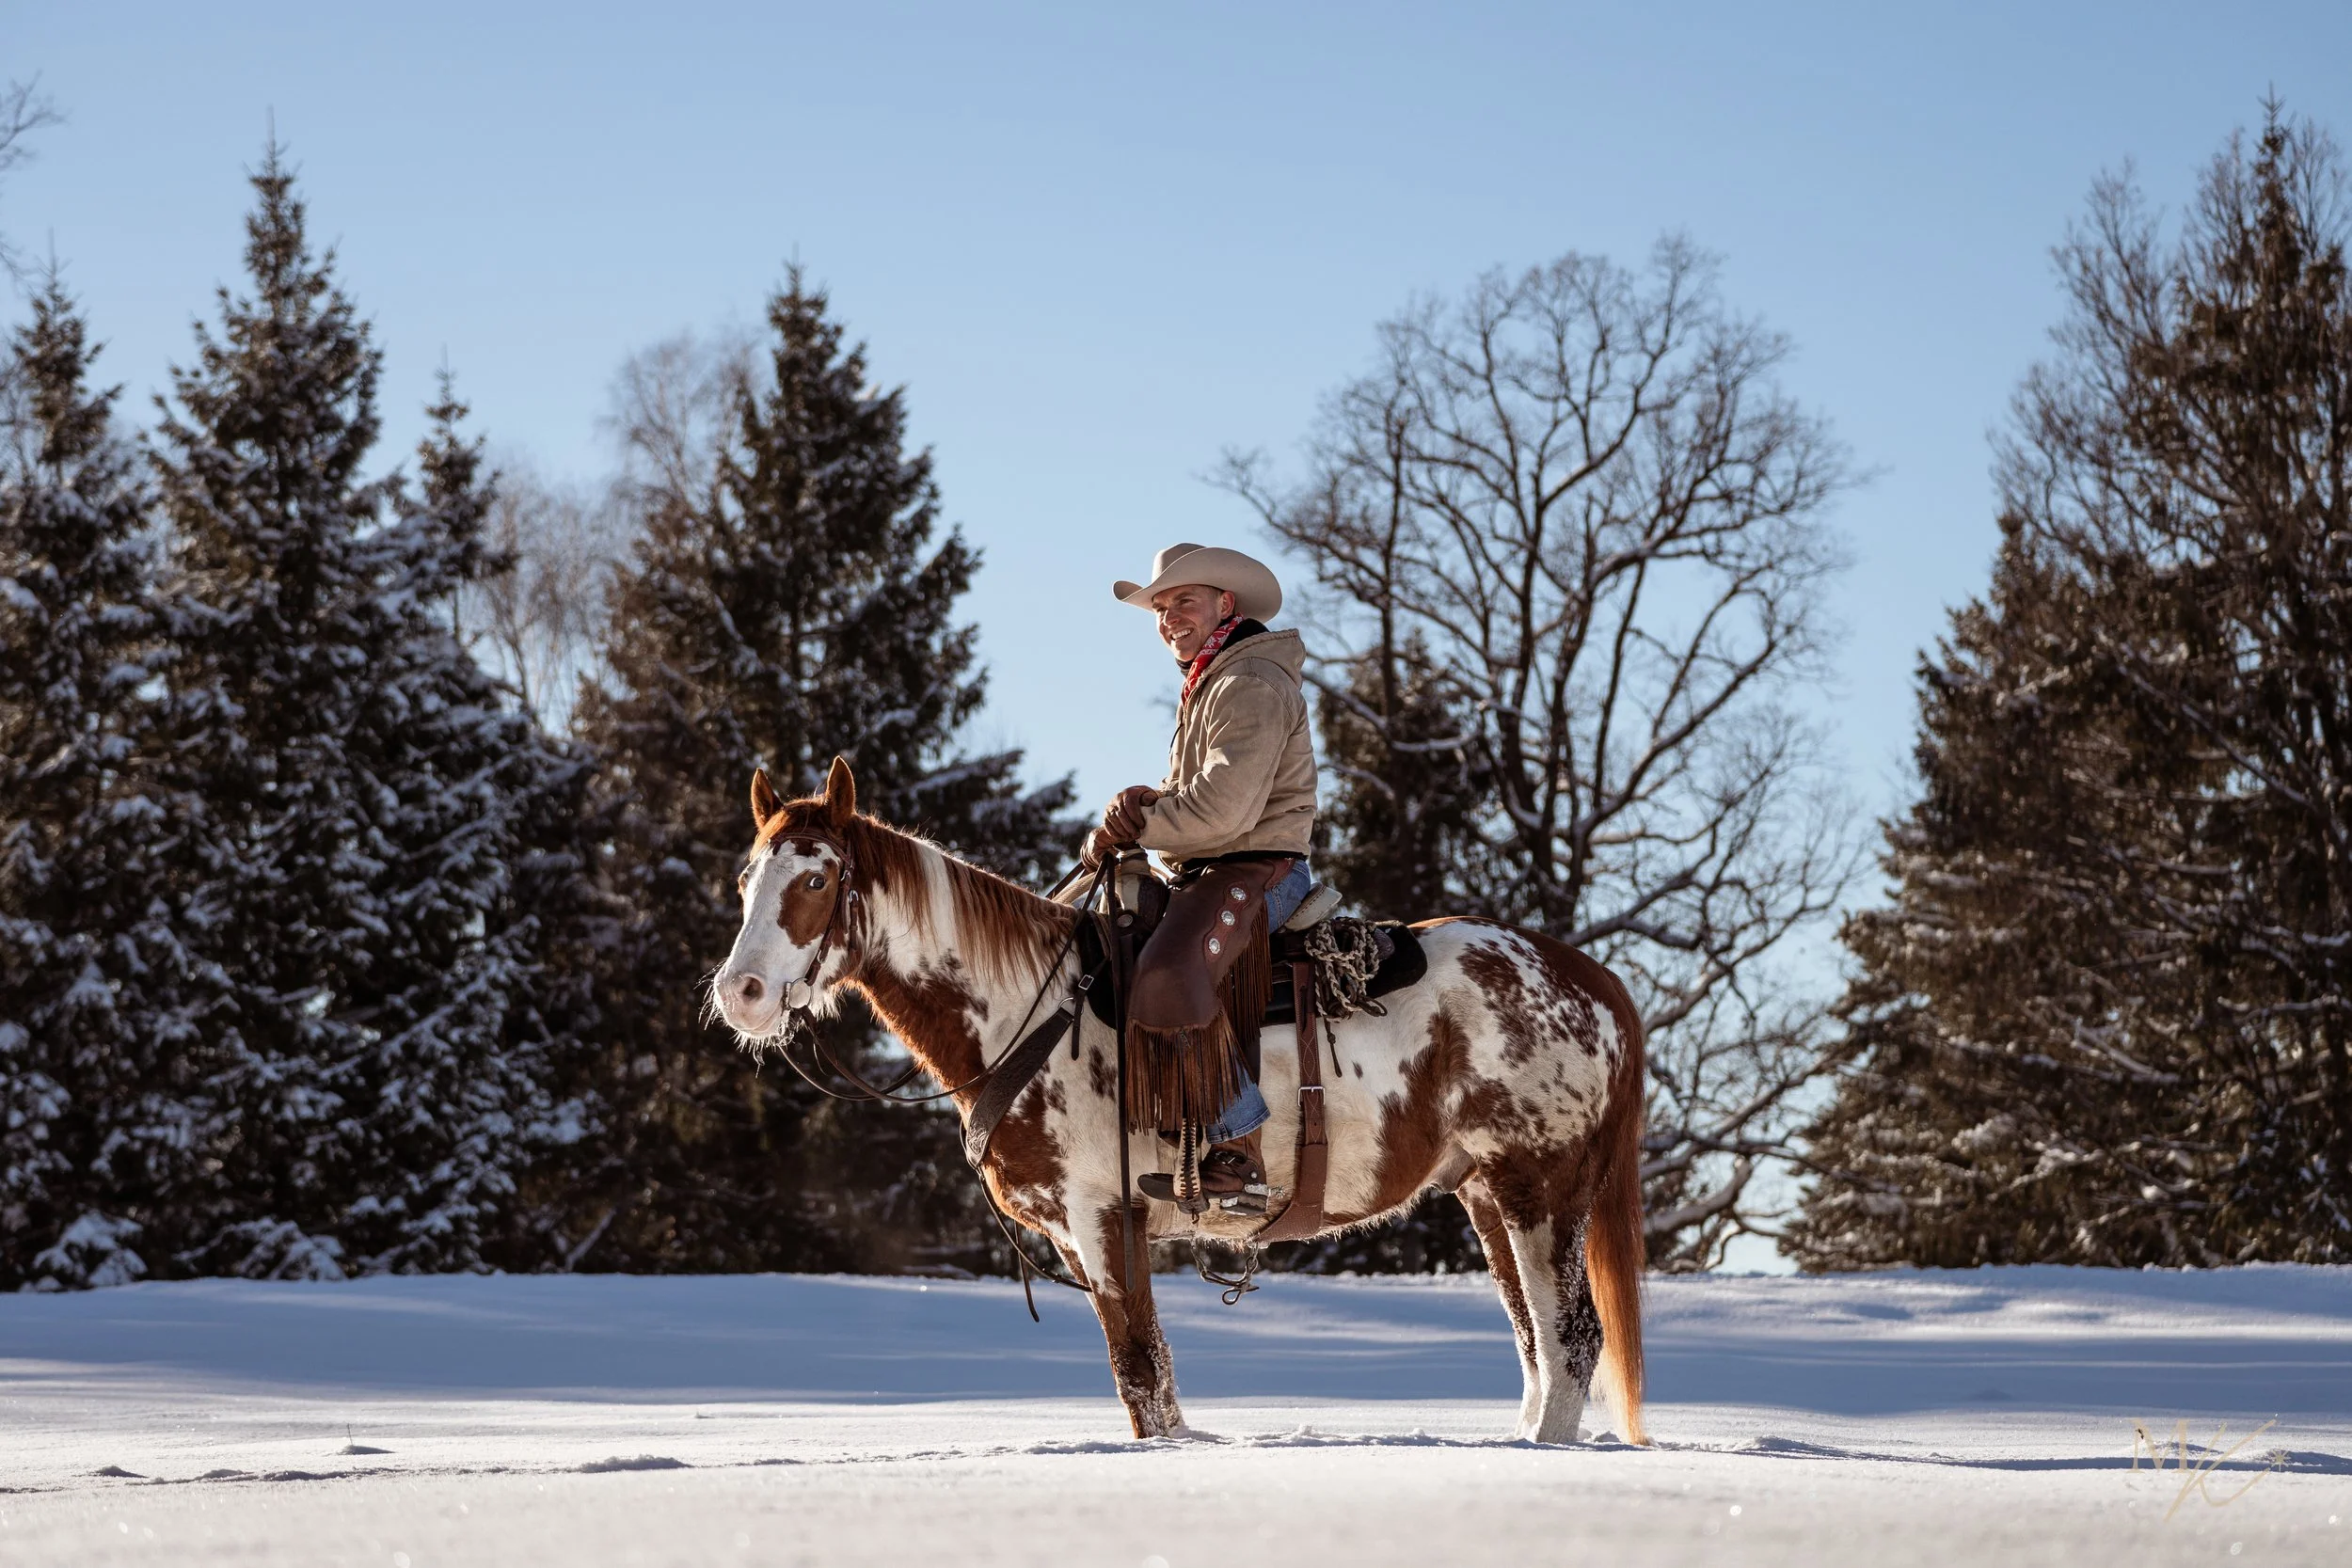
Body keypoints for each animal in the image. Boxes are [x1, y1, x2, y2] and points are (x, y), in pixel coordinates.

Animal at [712, 757, 1648, 1446]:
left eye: (818, 880)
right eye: (747, 879)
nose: (742, 992)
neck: (1032, 1010)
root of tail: (1590, 979)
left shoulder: (1104, 1219)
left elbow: (1143, 1380)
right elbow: (1148, 1383)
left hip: (1540, 1191)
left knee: (1570, 1339)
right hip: (1486, 1194)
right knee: (1535, 1346)